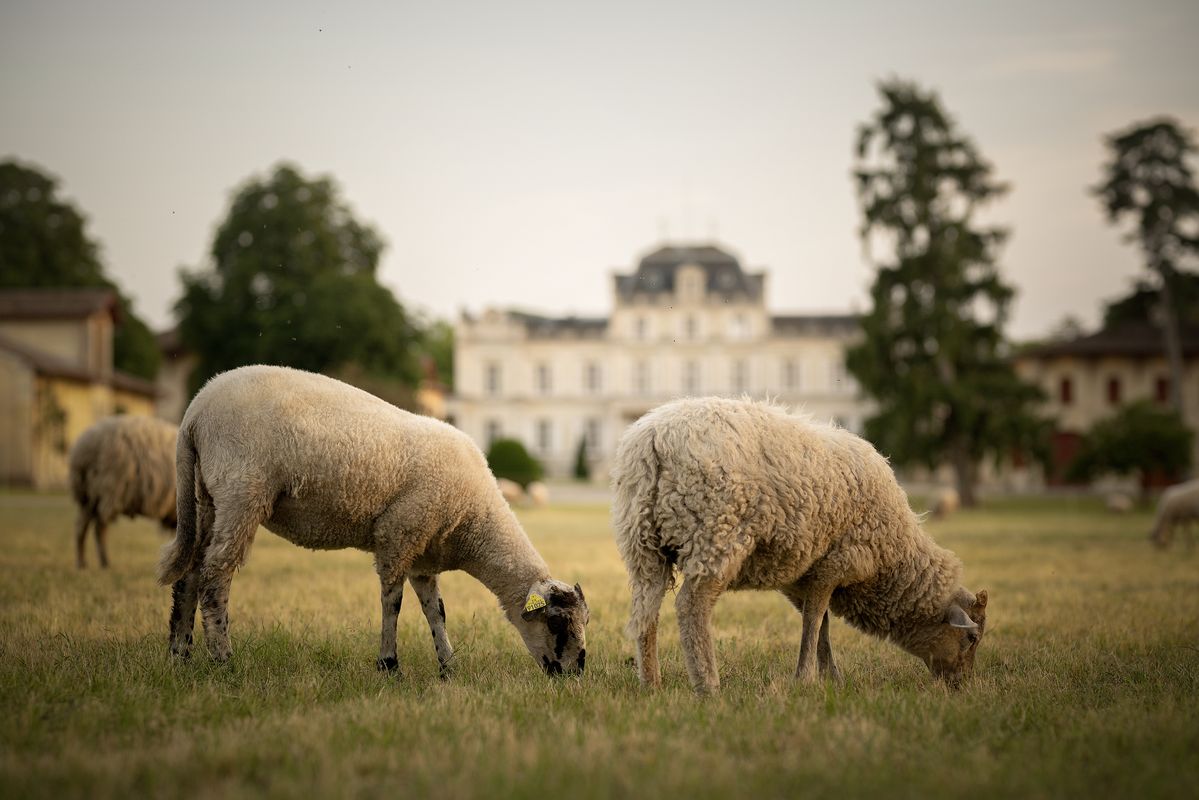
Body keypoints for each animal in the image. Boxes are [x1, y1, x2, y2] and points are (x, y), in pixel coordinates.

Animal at [68, 415, 178, 569]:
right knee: (97, 529)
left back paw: (86, 563)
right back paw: (100, 563)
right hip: (107, 492)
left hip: (89, 498)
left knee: (83, 528)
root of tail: (81, 450)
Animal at [157, 365, 589, 677]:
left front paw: (448, 666)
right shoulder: (399, 534)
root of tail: (195, 412)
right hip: (242, 490)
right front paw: (389, 665)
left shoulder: (423, 551)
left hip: (209, 496)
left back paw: (180, 655)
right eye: (556, 624)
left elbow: (436, 610)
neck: (475, 523)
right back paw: (222, 659)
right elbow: (392, 603)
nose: (576, 673)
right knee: (216, 575)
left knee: (191, 571)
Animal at [612, 396, 988, 694]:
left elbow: (820, 627)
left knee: (646, 613)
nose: (961, 687)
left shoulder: (801, 575)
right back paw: (708, 685)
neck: (893, 560)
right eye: (971, 639)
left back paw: (651, 684)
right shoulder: (835, 563)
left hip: (643, 543)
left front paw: (830, 677)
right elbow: (815, 620)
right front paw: (806, 679)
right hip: (716, 532)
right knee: (692, 606)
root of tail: (653, 438)